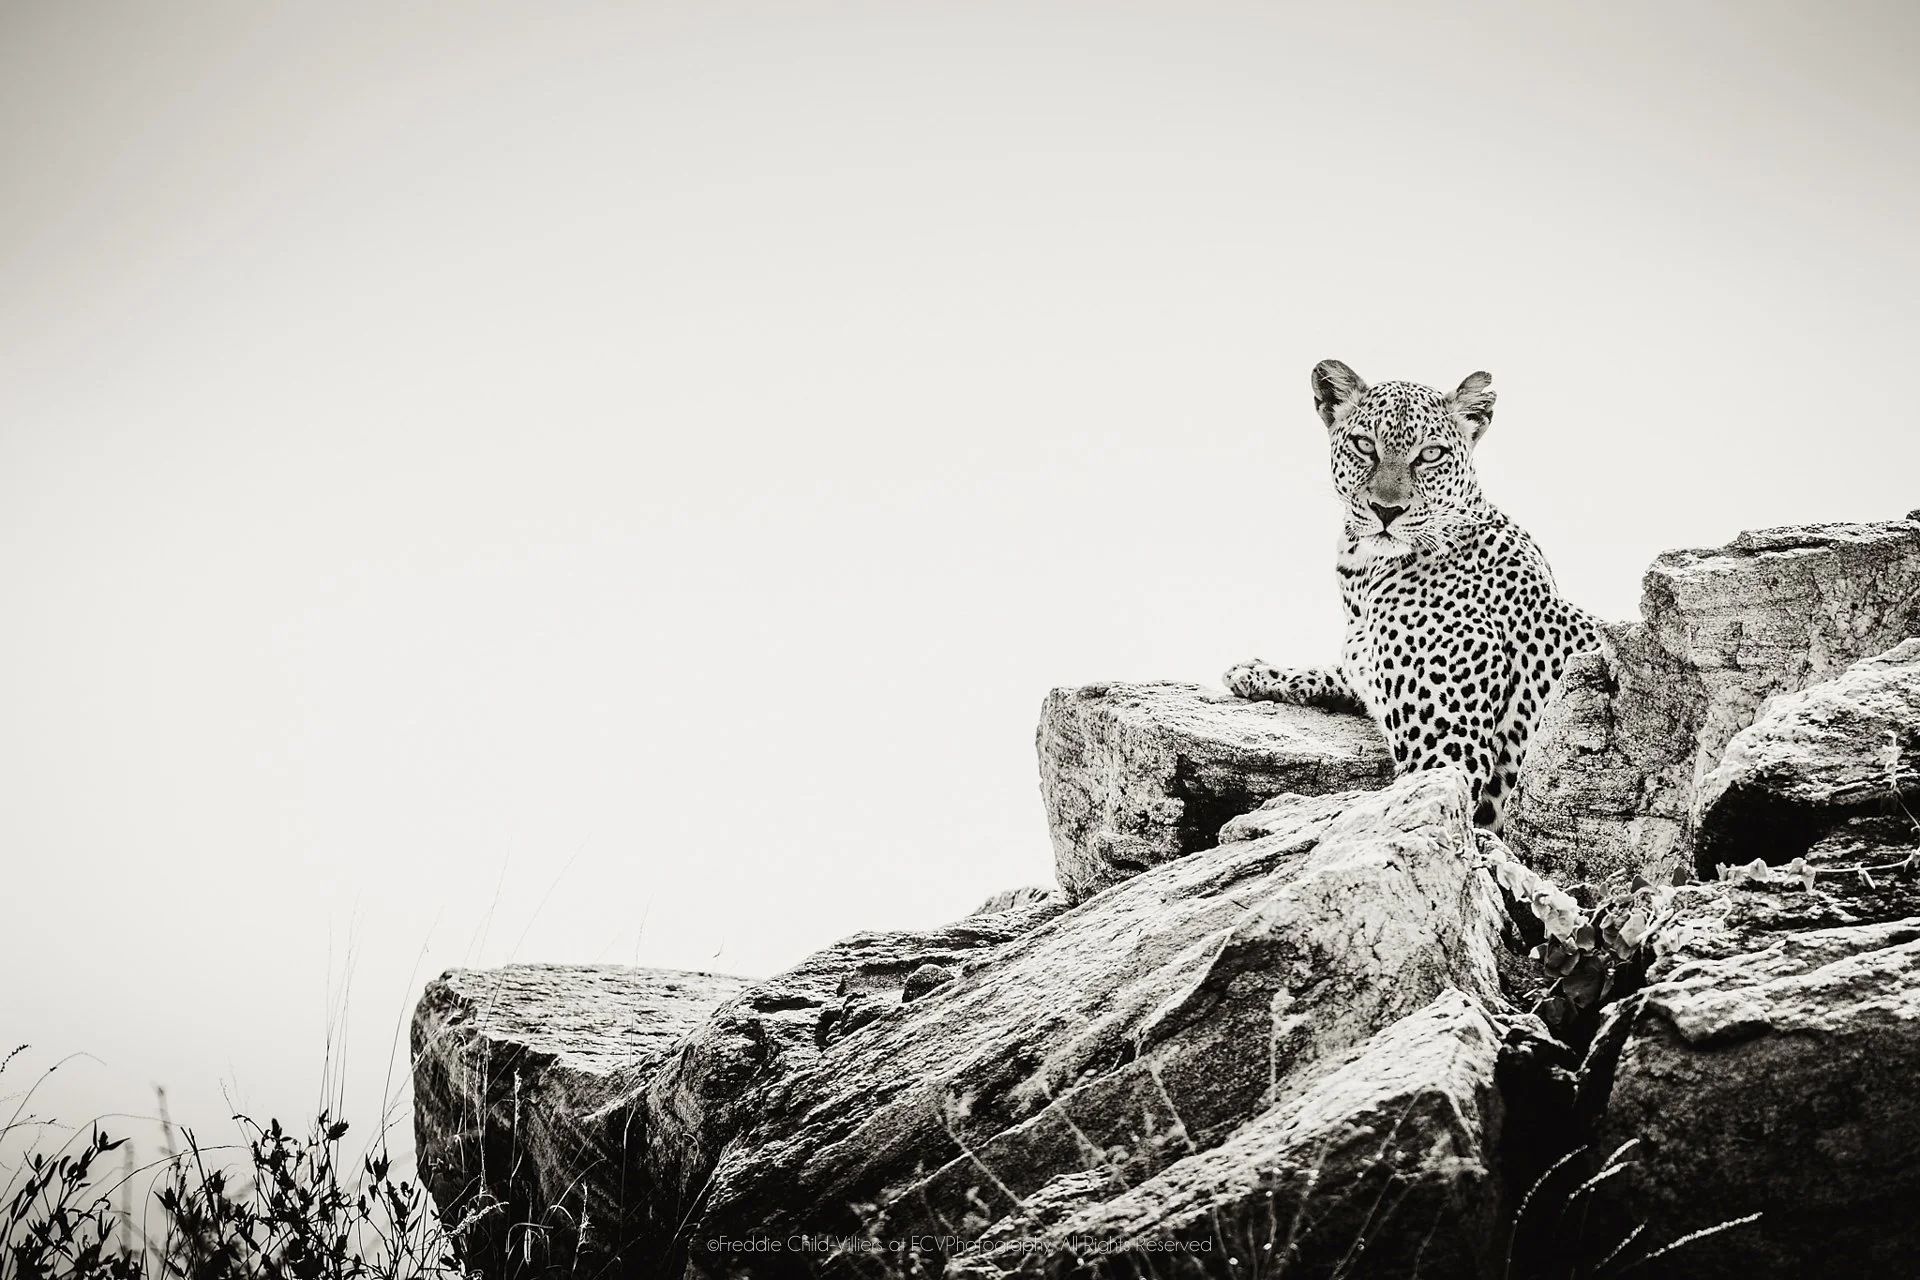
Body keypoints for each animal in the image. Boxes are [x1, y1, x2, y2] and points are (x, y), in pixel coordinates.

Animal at [1223, 359, 1603, 831]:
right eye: (1364, 445)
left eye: (1430, 454)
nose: (1387, 510)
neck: (1365, 573)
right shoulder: (1363, 664)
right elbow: (1336, 669)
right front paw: (1257, 671)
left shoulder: (1450, 754)